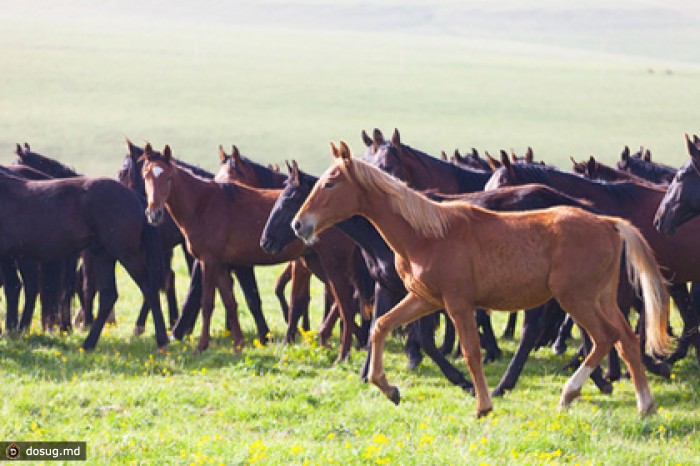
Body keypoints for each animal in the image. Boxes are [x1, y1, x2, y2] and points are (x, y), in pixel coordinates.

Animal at [139, 144, 364, 358]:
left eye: (168, 177)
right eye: (145, 176)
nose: (154, 213)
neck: (203, 204)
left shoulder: (209, 262)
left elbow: (208, 303)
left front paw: (201, 346)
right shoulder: (222, 265)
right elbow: (230, 303)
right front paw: (238, 344)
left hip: (332, 261)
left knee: (346, 298)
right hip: (315, 262)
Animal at [292, 140, 668, 416]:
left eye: (330, 183)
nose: (299, 224)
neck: (427, 235)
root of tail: (608, 224)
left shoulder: (458, 304)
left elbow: (471, 351)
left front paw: (482, 404)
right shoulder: (423, 298)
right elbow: (381, 326)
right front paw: (389, 389)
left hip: (576, 298)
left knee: (604, 338)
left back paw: (569, 393)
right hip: (601, 299)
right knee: (626, 339)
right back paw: (644, 405)